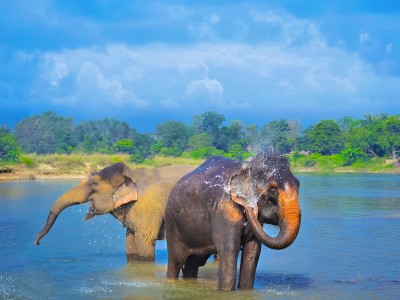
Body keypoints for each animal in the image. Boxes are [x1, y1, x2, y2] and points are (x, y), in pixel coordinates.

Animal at [35, 163, 195, 262]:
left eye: (94, 184)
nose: (37, 243)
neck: (131, 175)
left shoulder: (147, 207)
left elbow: (145, 239)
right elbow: (130, 239)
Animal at [165, 154, 300, 290]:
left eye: (298, 185)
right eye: (273, 190)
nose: (251, 207)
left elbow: (252, 250)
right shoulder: (224, 211)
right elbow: (229, 248)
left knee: (192, 264)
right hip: (172, 226)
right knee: (176, 262)